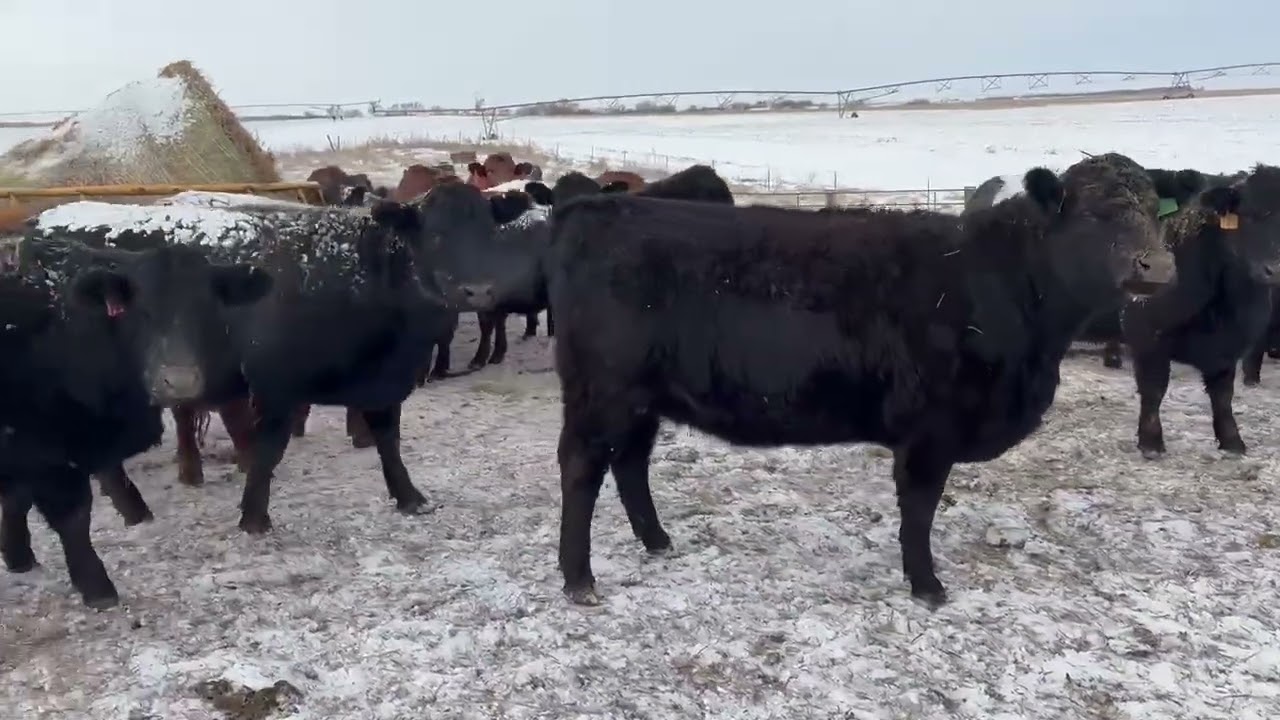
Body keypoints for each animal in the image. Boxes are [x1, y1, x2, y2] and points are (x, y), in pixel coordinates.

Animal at [0, 245, 271, 607]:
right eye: (141, 311)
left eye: (208, 309)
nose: (179, 380)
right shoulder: (44, 450)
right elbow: (72, 517)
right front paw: (97, 588)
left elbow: (19, 500)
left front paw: (18, 557)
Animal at [545, 152, 1174, 608]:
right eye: (1094, 213)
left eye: (1153, 211)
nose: (1159, 267)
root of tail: (597, 209)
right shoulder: (931, 429)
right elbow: (918, 508)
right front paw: (927, 586)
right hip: (603, 393)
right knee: (582, 468)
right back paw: (579, 579)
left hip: (641, 399)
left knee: (630, 463)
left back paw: (657, 541)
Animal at [1121, 169, 1280, 458]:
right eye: (1249, 214)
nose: (1274, 269)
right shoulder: (1146, 334)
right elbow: (1153, 389)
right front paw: (1151, 442)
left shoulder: (1230, 346)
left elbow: (1223, 395)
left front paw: (1232, 441)